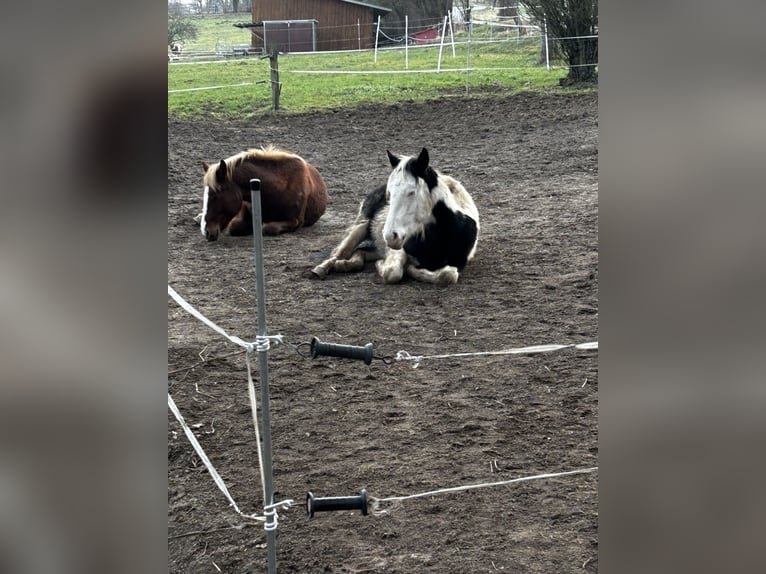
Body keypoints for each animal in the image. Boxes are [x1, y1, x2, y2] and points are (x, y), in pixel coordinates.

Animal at [311, 148, 479, 285]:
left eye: (411, 192)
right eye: (389, 193)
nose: (390, 236)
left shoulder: (459, 262)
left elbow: (447, 276)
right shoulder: (398, 249)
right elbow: (393, 272)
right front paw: (385, 266)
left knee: (361, 252)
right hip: (360, 227)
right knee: (340, 253)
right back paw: (322, 268)